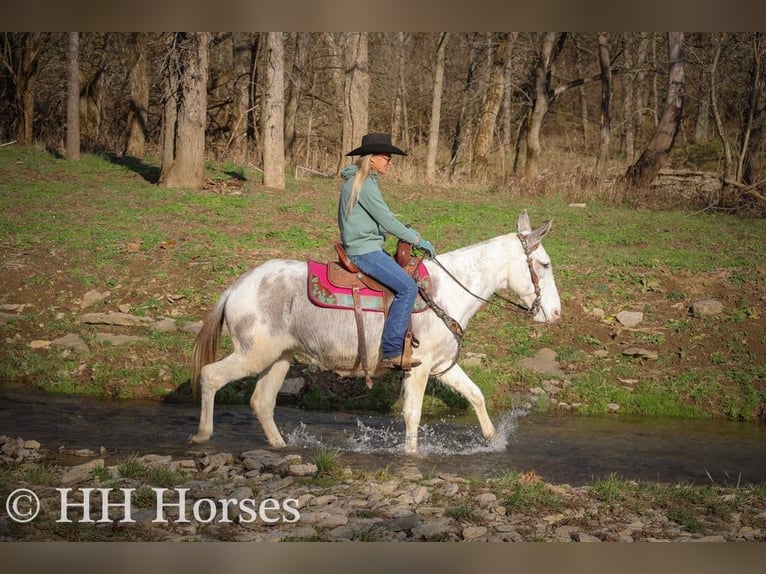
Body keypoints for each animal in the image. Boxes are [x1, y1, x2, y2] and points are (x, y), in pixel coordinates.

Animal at [189, 209, 561, 453]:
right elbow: (413, 415)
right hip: (252, 354)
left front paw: (492, 440)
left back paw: (280, 445)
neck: (448, 293)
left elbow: (476, 395)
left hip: (279, 358)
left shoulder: (443, 367)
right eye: (544, 264)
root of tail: (236, 287)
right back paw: (202, 435)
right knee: (211, 376)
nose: (556, 313)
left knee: (262, 401)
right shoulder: (420, 368)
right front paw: (411, 456)